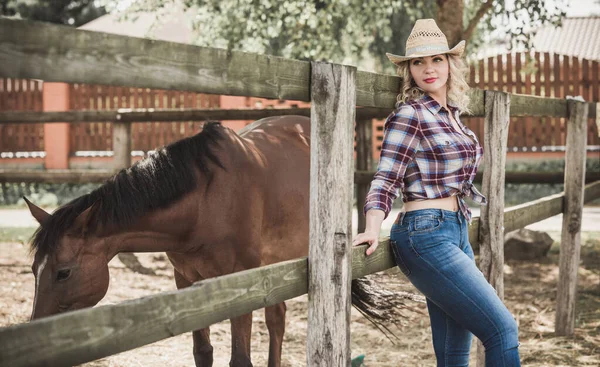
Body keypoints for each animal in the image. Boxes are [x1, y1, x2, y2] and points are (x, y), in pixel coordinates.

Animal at [25, 115, 312, 367]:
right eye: (33, 269)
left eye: (63, 272)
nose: (37, 334)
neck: (206, 202)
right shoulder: (187, 279)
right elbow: (202, 352)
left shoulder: (244, 281)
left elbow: (240, 359)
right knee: (277, 318)